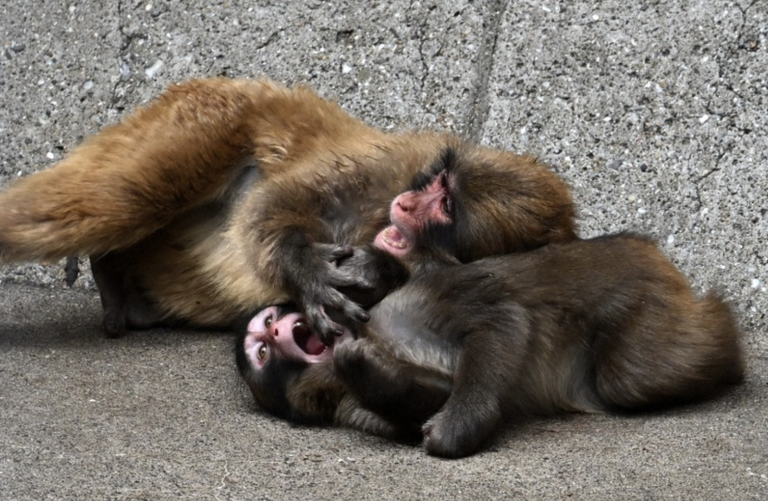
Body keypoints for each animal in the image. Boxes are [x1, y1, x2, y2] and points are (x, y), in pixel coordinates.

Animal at [0, 78, 575, 339]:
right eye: (437, 182)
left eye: (446, 206)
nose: (408, 203)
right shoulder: (388, 169)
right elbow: (273, 203)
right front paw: (304, 268)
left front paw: (379, 272)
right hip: (204, 119)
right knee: (122, 200)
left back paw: (112, 277)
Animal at [236, 233, 744, 458]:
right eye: (260, 353)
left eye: (267, 329)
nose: (273, 334)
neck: (374, 332)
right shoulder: (347, 409)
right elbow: (417, 404)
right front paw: (365, 368)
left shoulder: (421, 299)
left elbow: (501, 319)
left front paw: (462, 425)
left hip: (641, 283)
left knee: (636, 376)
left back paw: (726, 335)